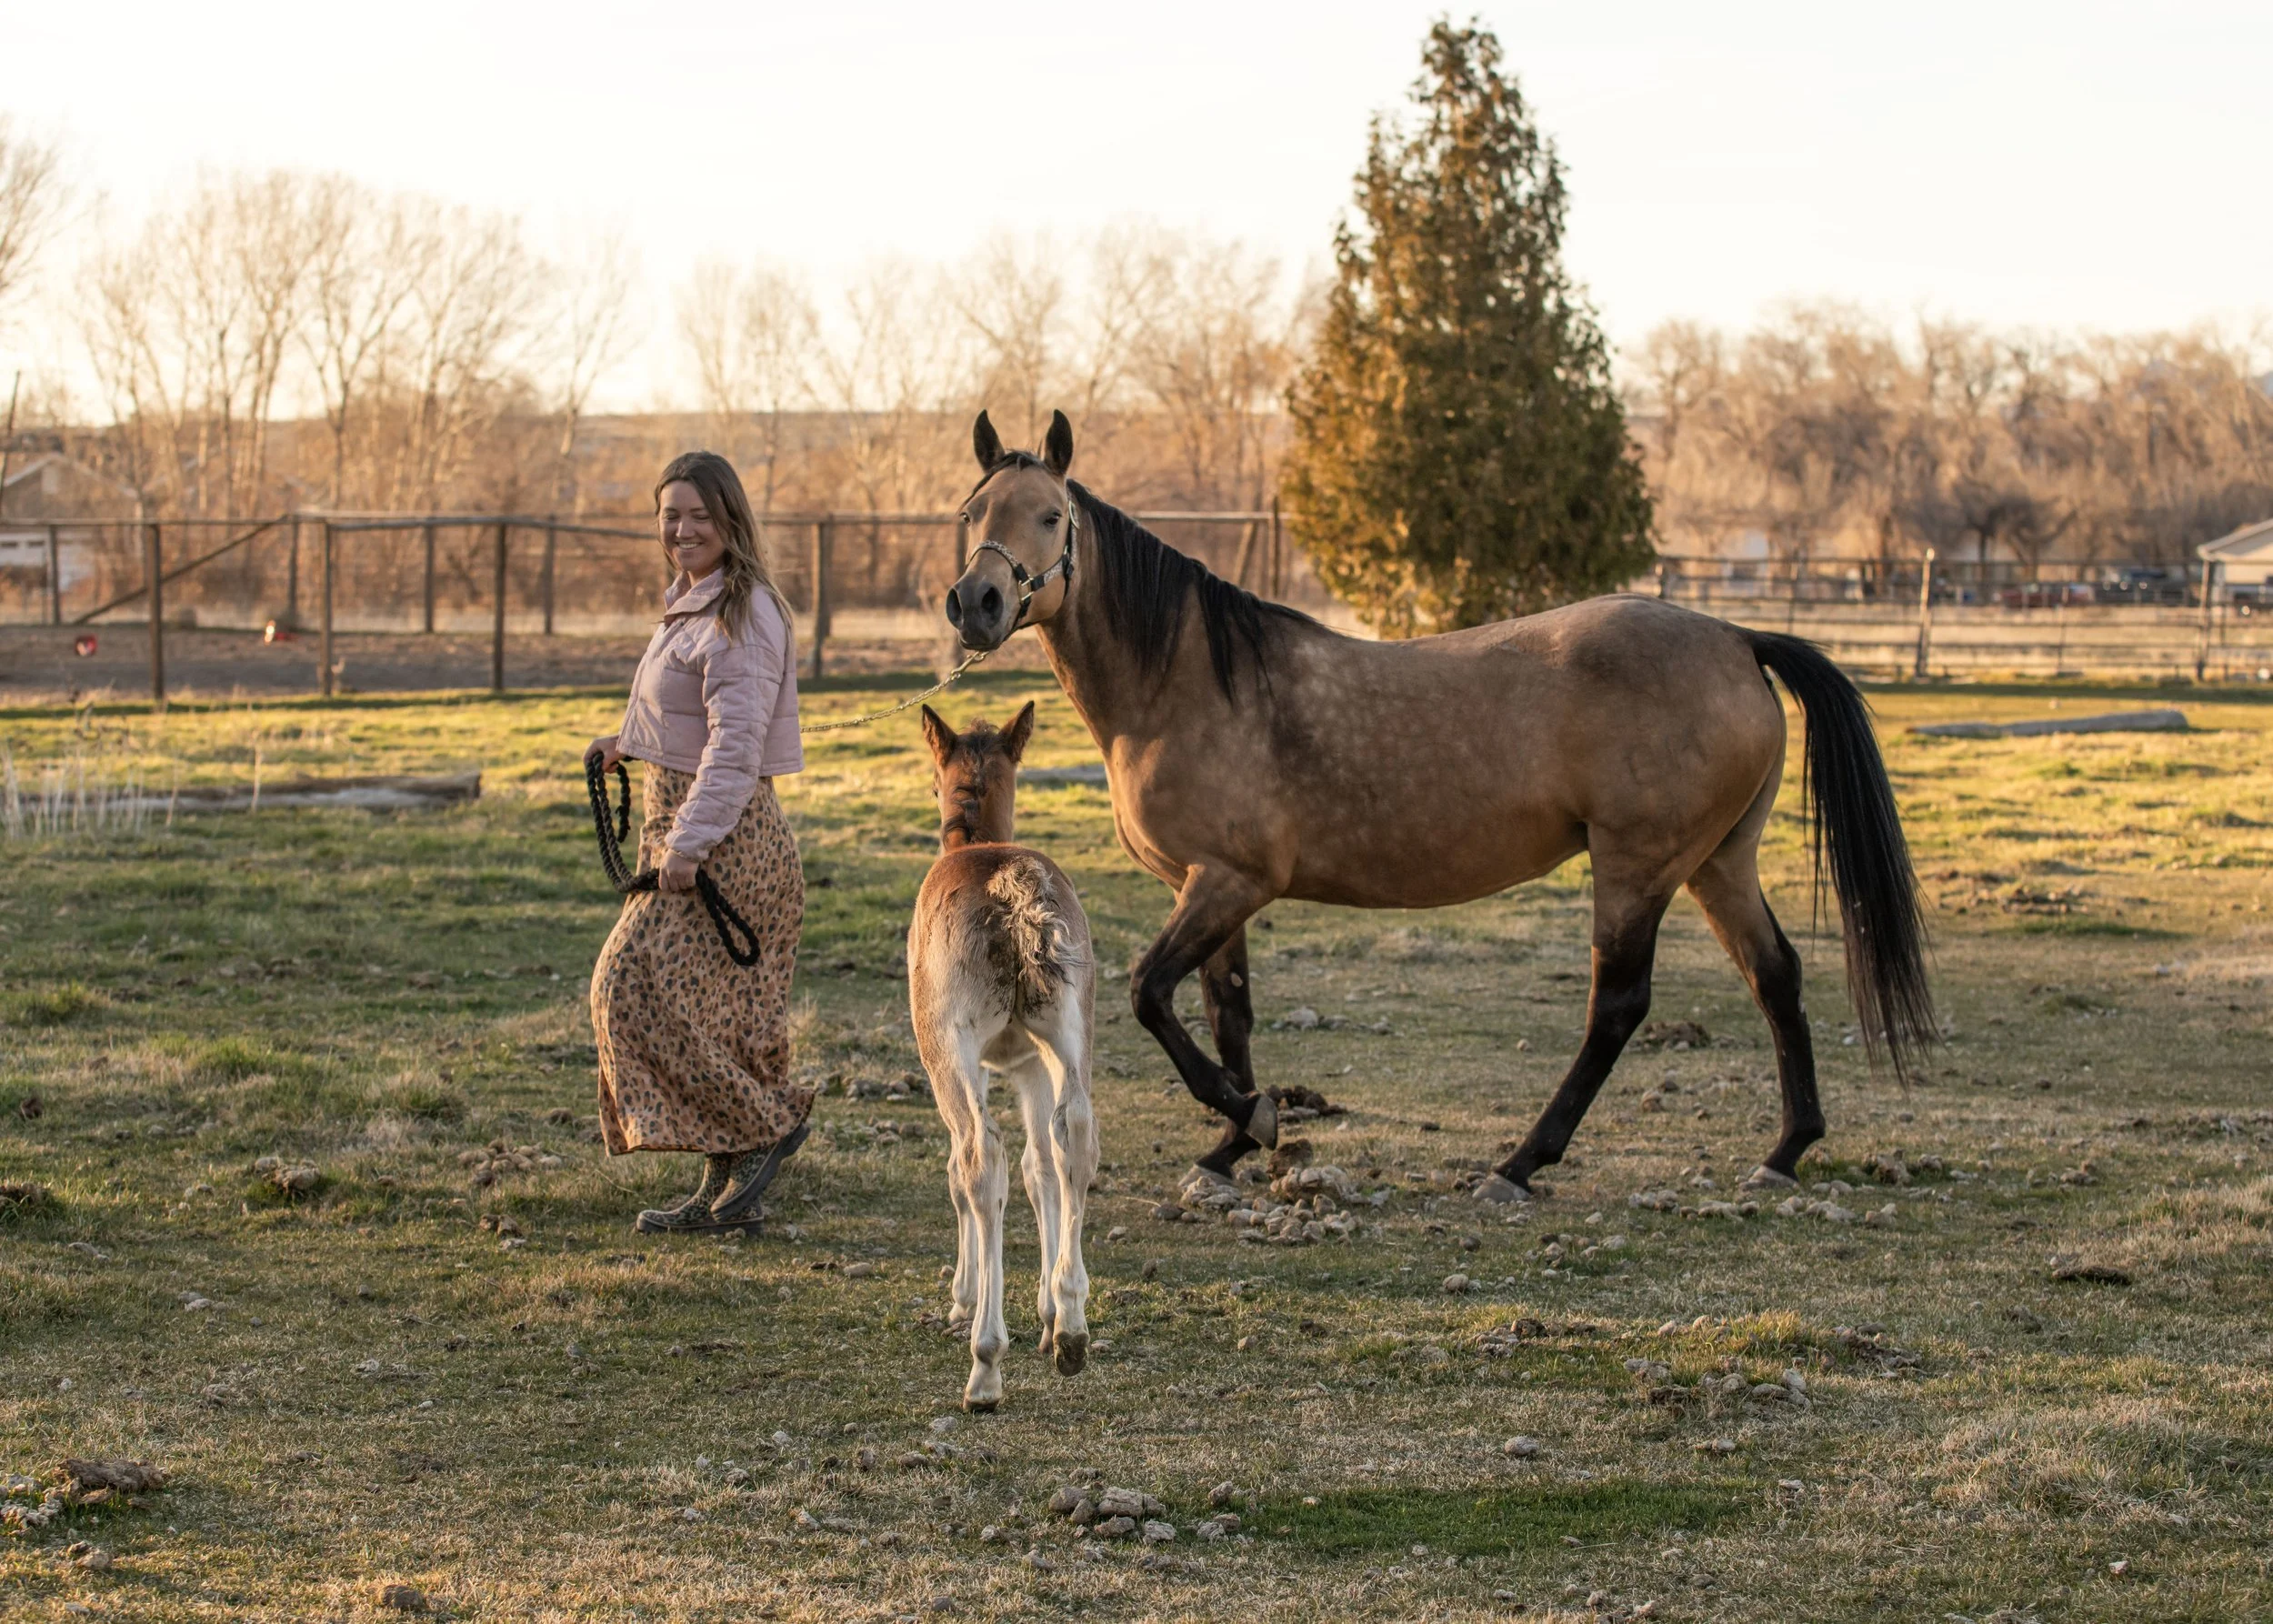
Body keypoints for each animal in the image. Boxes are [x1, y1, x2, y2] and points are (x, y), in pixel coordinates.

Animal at [907, 700, 1098, 1411]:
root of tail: (1017, 894)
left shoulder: (969, 1061)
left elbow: (965, 1174)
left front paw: (963, 1300)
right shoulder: (1025, 1063)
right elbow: (1040, 1168)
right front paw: (1048, 1315)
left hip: (947, 1044)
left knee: (977, 1158)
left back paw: (984, 1364)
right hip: (1071, 1030)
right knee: (1076, 1135)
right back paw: (1072, 1328)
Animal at [939, 408, 1934, 1204]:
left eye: (1051, 516)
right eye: (970, 515)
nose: (975, 602)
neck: (1187, 682)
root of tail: (1735, 638)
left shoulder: (1227, 882)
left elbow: (1151, 993)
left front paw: (1251, 1117)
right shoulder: (1215, 888)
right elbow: (1228, 1013)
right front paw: (1231, 1143)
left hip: (1638, 866)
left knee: (1617, 1005)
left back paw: (1520, 1164)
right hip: (1717, 862)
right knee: (1776, 976)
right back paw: (1785, 1149)